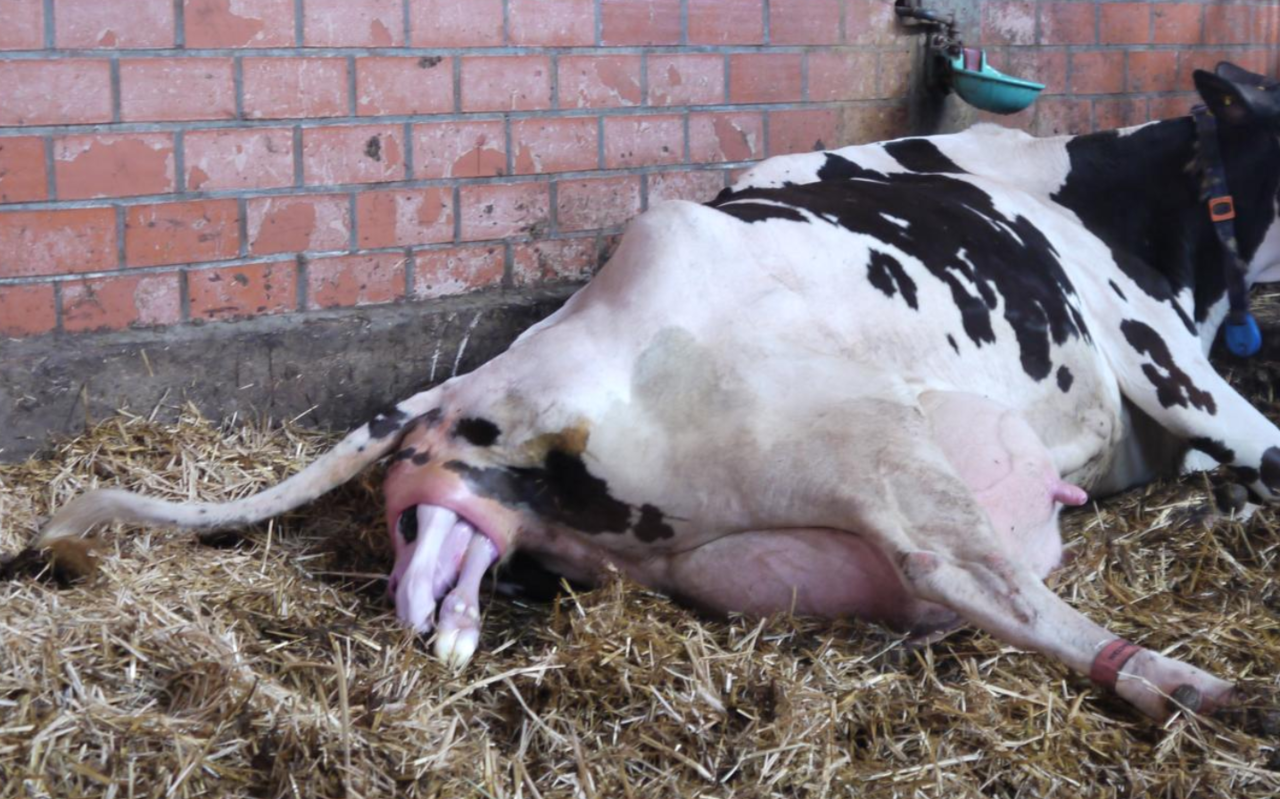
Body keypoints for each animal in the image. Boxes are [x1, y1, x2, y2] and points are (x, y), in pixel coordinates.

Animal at [33, 63, 1280, 727]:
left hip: (512, 508)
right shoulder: (1159, 352)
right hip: (867, 440)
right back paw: (1191, 685)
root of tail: (506, 369)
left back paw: (452, 622)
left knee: (437, 568)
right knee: (976, 576)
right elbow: (1263, 437)